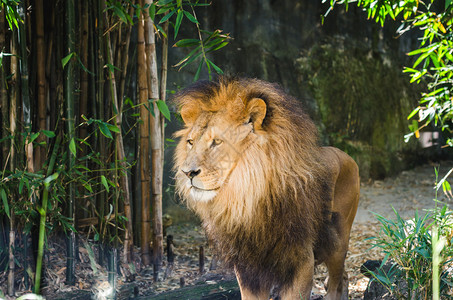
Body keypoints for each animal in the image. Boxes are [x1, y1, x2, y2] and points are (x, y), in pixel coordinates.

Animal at [171, 78, 358, 300]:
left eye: (216, 142)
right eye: (190, 142)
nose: (187, 172)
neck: (249, 200)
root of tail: (345, 154)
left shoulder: (301, 259)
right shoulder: (247, 266)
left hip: (338, 240)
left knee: (336, 280)